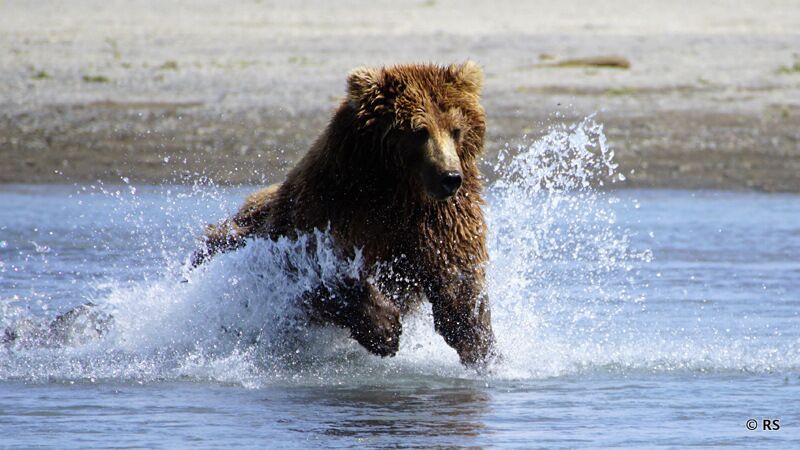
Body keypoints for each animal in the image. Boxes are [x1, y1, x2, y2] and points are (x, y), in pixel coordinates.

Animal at [192, 62, 497, 367]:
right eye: (420, 131)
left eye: (456, 129)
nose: (450, 177)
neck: (399, 191)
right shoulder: (335, 206)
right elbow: (320, 269)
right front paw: (385, 328)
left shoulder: (441, 217)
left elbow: (458, 277)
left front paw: (480, 346)